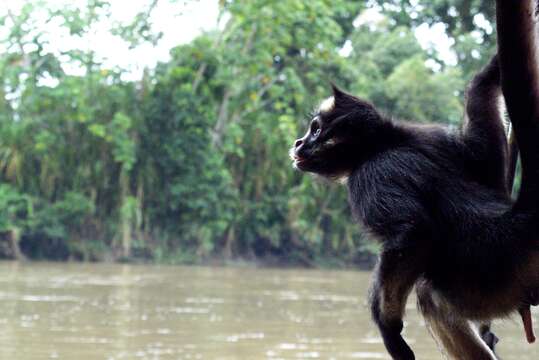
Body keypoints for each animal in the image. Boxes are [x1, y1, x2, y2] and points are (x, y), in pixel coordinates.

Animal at [292, 2, 539, 358]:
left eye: (315, 130)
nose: (299, 143)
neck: (387, 142)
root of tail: (519, 222)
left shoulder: (372, 175)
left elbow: (414, 233)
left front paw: (390, 329)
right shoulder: (434, 135)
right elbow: (486, 157)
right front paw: (492, 67)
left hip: (499, 281)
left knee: (429, 295)